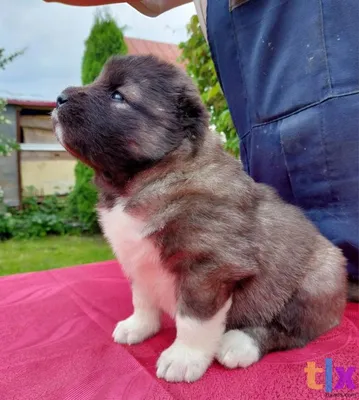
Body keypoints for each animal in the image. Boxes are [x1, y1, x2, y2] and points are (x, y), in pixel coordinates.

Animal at [52, 54, 348, 382]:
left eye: (118, 96)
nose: (59, 98)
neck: (151, 175)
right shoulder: (136, 258)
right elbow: (142, 297)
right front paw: (139, 326)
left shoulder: (208, 266)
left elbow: (193, 318)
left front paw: (183, 358)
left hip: (314, 283)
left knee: (291, 329)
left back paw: (239, 344)